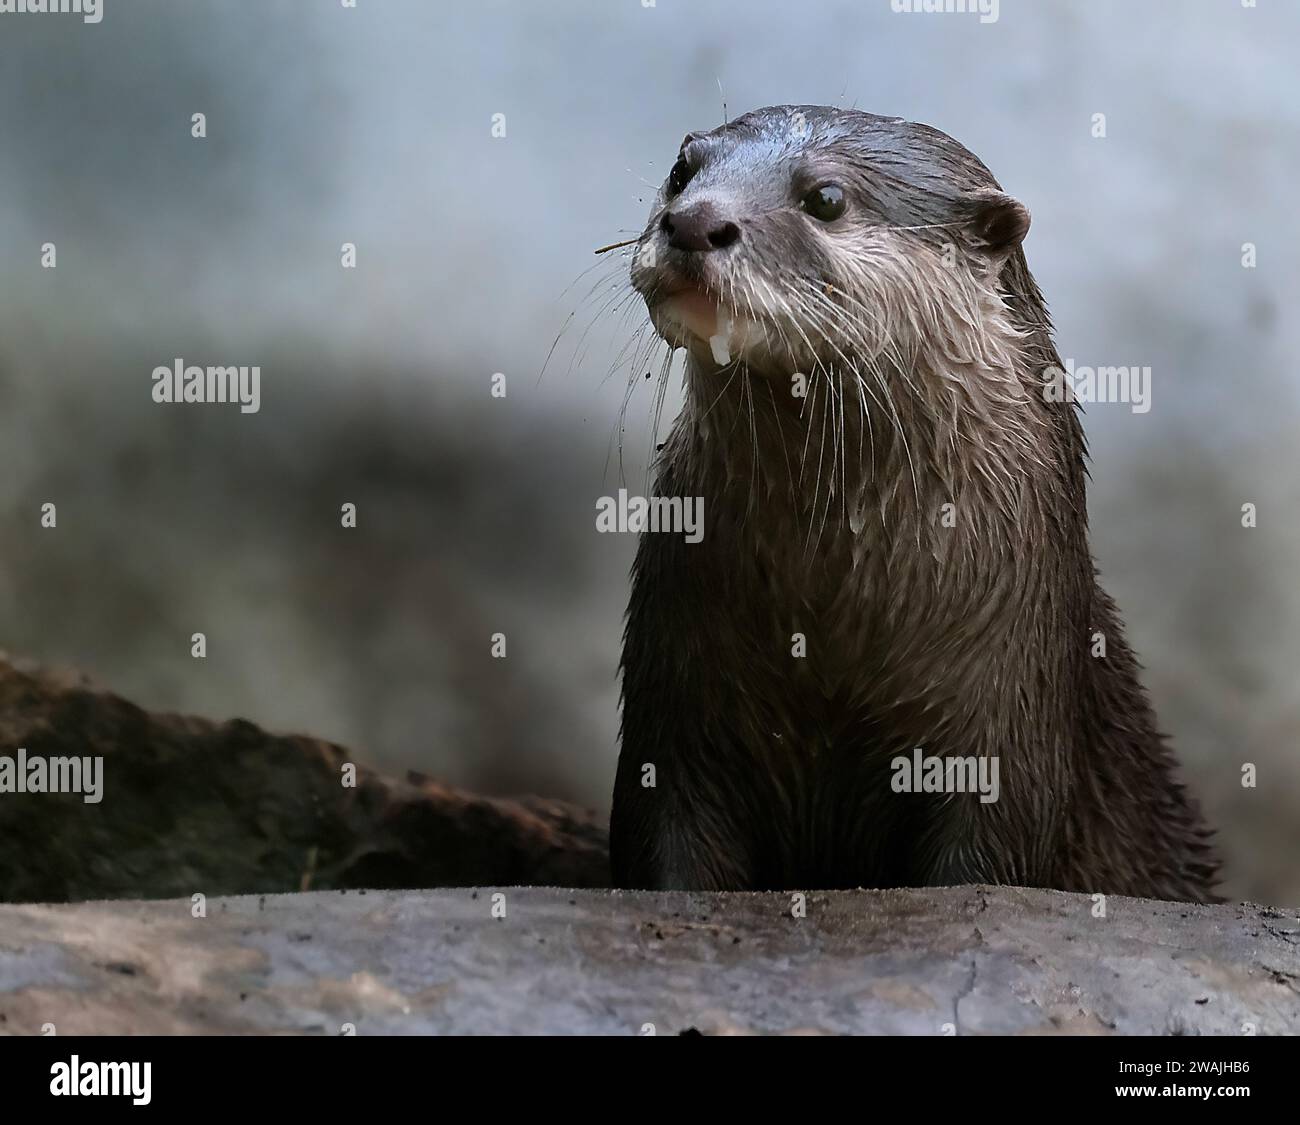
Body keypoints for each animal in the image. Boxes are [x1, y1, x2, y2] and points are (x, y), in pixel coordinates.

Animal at [608, 103, 1216, 894]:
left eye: (826, 198)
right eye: (683, 171)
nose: (692, 221)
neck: (836, 620)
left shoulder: (1012, 726)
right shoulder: (674, 702)